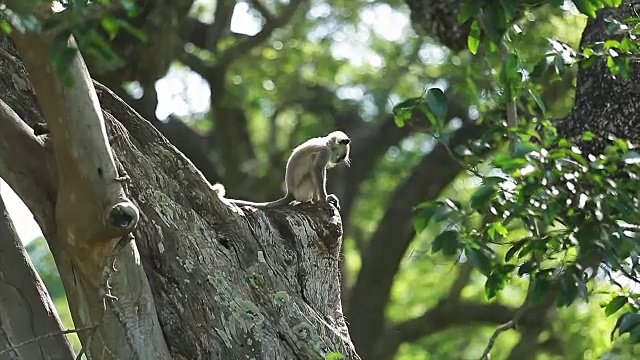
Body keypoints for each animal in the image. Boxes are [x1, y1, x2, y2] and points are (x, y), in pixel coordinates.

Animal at [216, 131, 352, 210]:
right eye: (339, 157)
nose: (337, 161)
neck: (326, 142)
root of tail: (290, 193)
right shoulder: (325, 152)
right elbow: (317, 169)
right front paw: (324, 201)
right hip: (302, 191)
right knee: (313, 173)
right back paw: (315, 201)